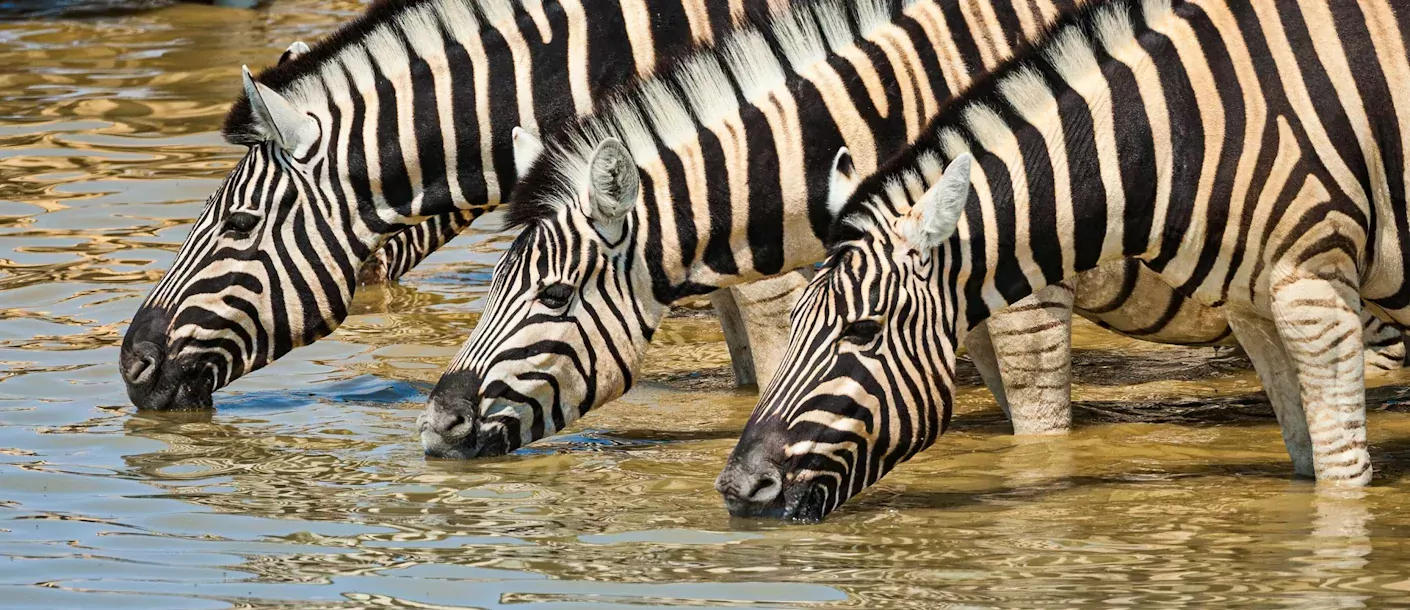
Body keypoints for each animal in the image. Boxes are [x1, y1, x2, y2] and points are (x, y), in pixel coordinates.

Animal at [721, 0, 1410, 521]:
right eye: (795, 325)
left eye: (863, 331)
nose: (735, 489)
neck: (1180, 133)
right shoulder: (1253, 308)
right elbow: (1307, 459)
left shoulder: (1313, 296)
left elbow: (1341, 479)